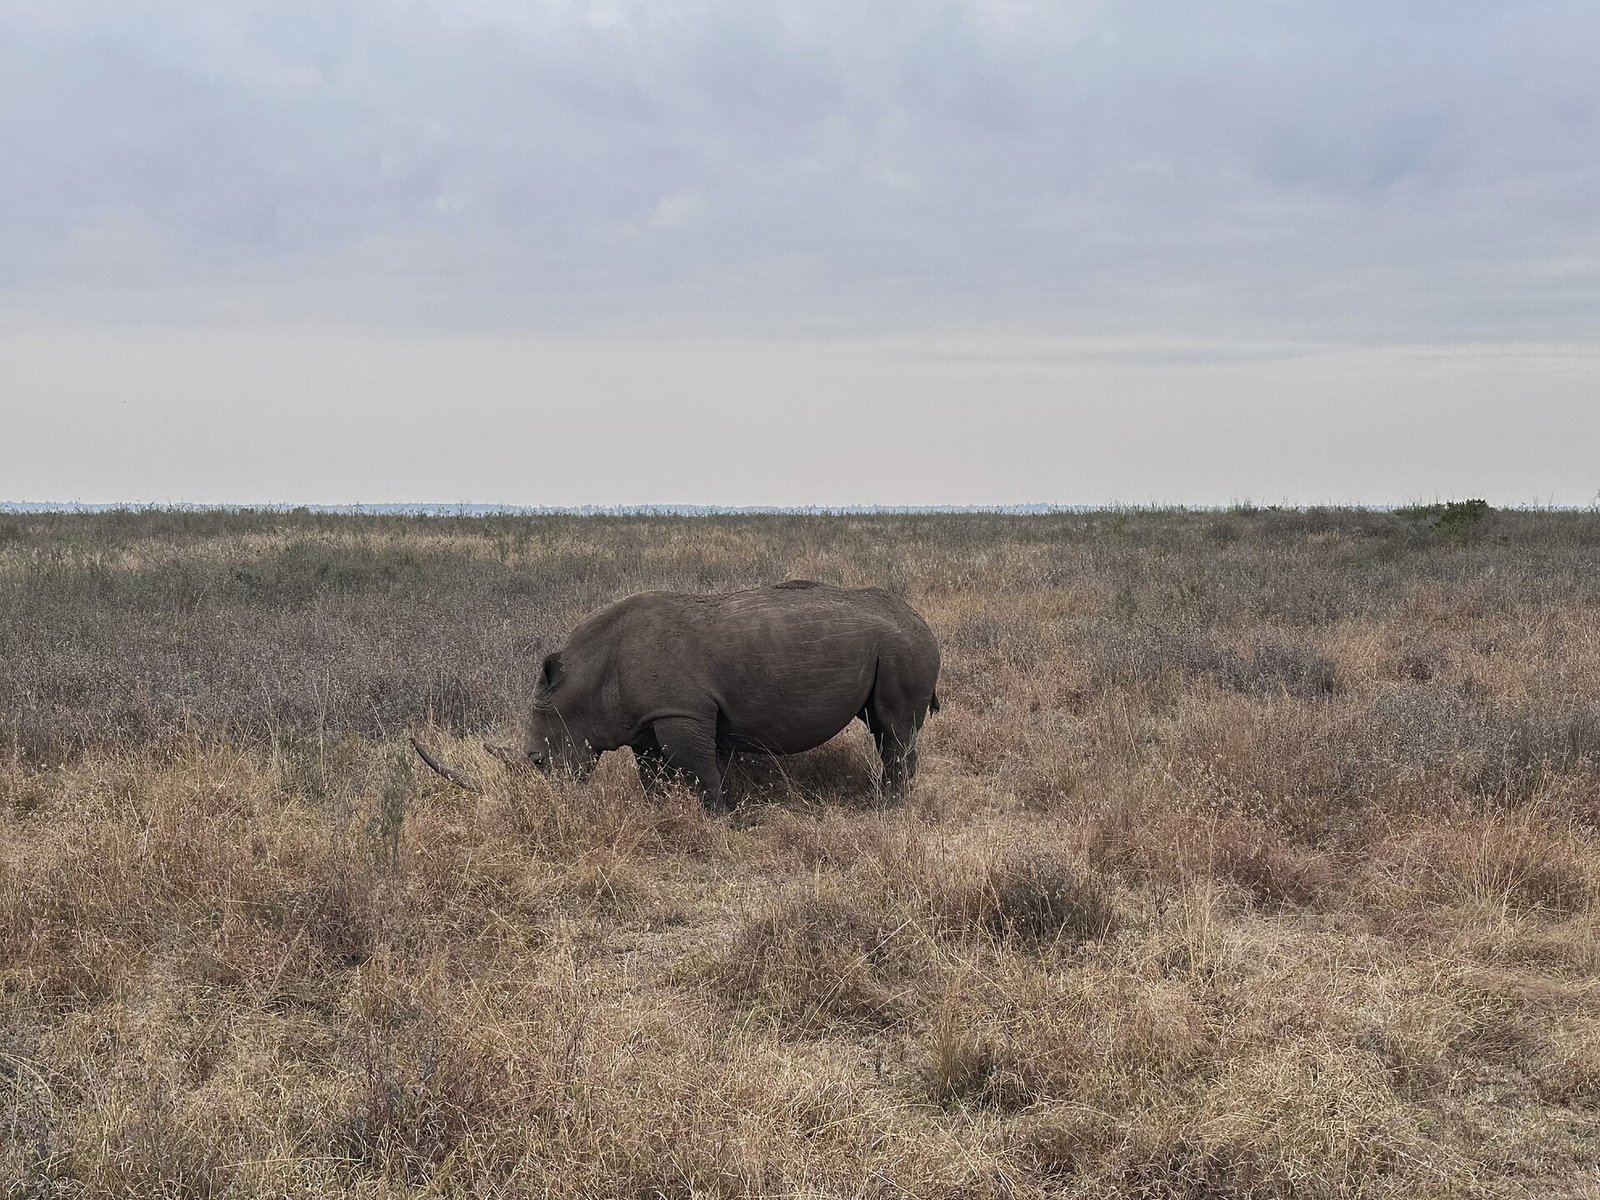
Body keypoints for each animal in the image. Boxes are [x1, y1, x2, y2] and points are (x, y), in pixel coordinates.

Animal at [413, 580, 940, 810]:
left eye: (538, 761)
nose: (544, 804)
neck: (585, 678)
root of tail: (921, 618)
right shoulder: (644, 719)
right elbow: (652, 774)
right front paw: (659, 813)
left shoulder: (681, 712)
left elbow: (701, 771)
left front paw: (717, 820)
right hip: (894, 646)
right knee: (882, 726)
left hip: (902, 646)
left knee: (894, 727)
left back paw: (886, 810)